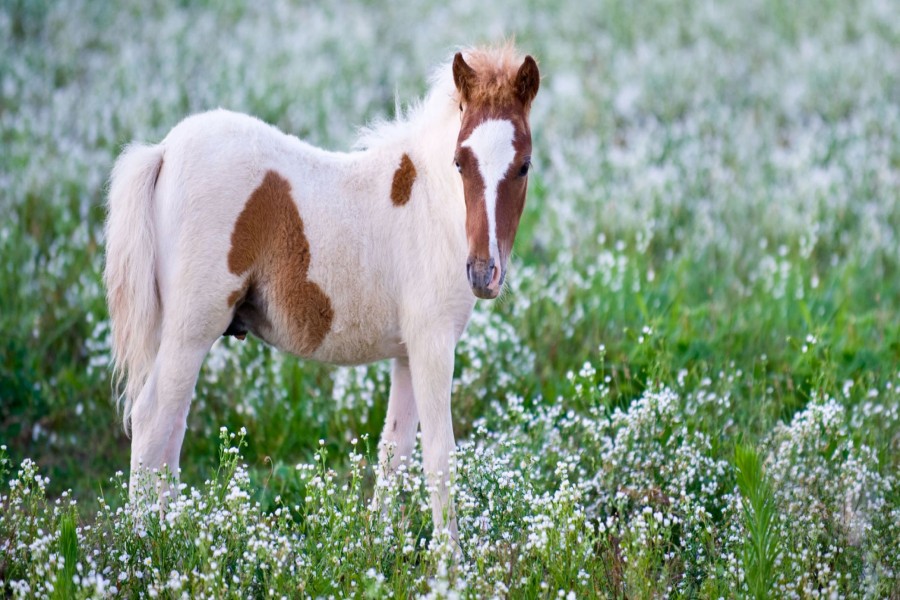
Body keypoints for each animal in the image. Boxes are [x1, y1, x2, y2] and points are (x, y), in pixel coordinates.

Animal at [105, 44, 540, 536]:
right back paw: (146, 543)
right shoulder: (433, 343)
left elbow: (394, 451)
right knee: (152, 418)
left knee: (171, 425)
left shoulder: (408, 352)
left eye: (523, 166)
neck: (432, 207)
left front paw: (377, 544)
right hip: (191, 330)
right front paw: (451, 557)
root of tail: (163, 151)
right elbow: (439, 459)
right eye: (460, 162)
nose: (483, 274)